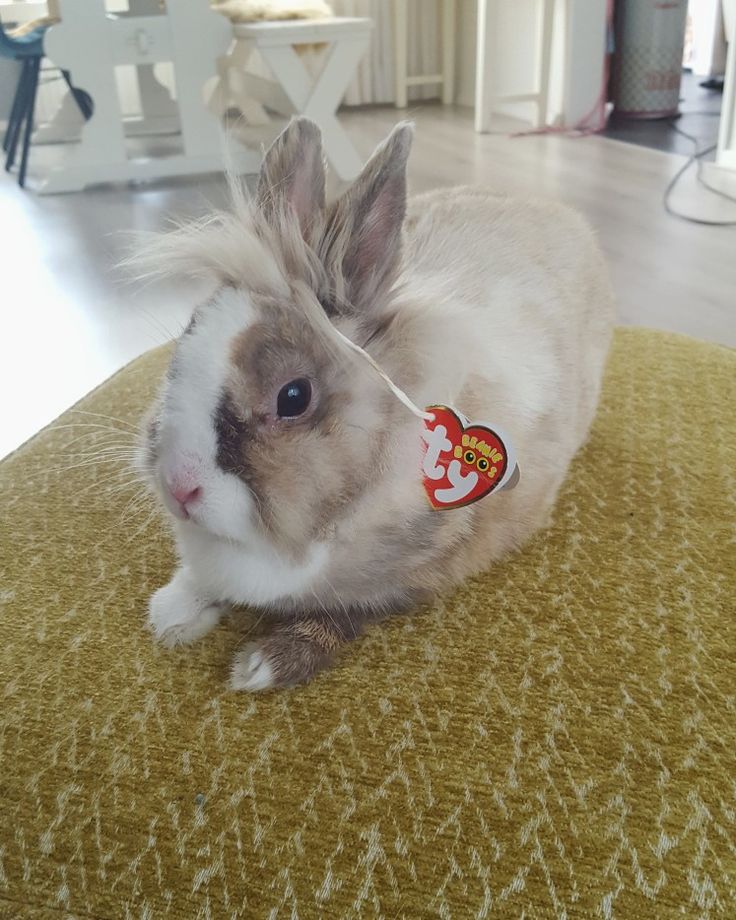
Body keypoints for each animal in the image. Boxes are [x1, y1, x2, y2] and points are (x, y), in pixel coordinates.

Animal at [137, 117, 616, 688]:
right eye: (187, 334)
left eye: (293, 396)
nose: (178, 488)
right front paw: (172, 613)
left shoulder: (417, 575)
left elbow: (347, 613)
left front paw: (264, 666)